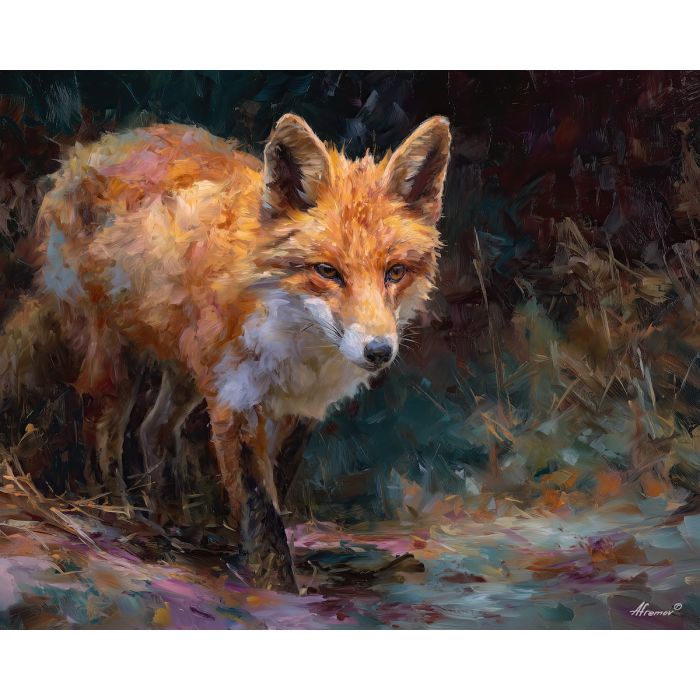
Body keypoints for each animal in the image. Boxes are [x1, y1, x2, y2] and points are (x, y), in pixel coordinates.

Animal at [0, 113, 450, 590]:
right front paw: (276, 588)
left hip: (187, 370)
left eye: (395, 272)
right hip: (118, 362)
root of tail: (82, 155)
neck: (295, 343)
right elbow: (260, 510)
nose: (378, 351)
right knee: (101, 433)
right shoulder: (236, 403)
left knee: (152, 429)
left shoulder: (298, 411)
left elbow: (274, 494)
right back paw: (120, 517)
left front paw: (248, 558)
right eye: (327, 271)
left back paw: (171, 522)